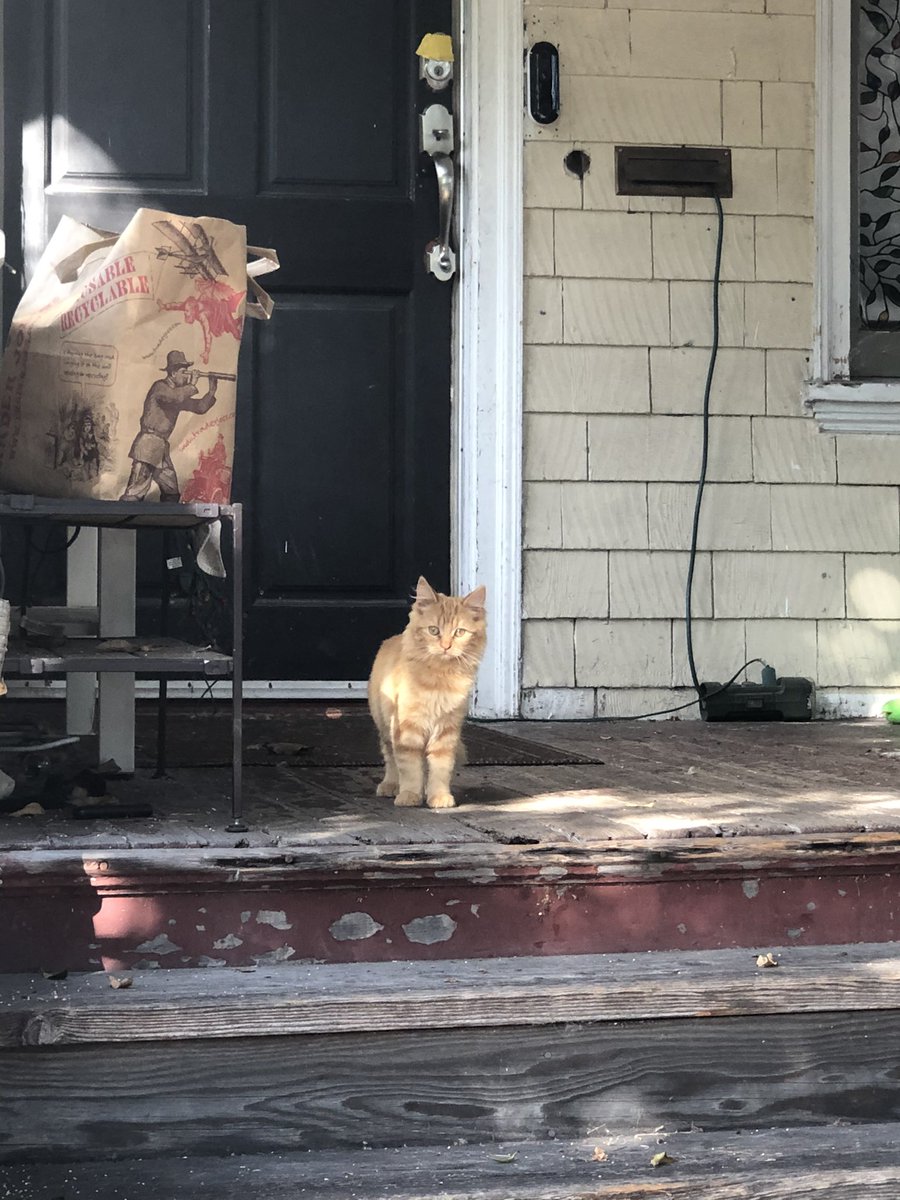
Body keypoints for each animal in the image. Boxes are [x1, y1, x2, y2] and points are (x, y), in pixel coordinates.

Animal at [367, 576, 487, 811]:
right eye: (434, 631)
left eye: (459, 632)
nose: (446, 646)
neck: (439, 680)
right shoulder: (407, 728)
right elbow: (410, 768)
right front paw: (409, 795)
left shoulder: (446, 730)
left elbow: (440, 769)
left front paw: (439, 796)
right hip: (385, 724)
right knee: (391, 759)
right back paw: (391, 786)